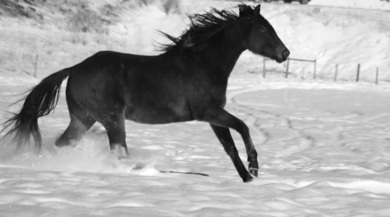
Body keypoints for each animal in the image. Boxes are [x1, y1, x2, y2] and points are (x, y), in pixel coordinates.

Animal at [1, 4, 290, 182]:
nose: (285, 53)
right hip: (112, 119)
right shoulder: (208, 111)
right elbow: (243, 127)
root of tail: (75, 68)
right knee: (119, 152)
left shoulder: (213, 117)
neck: (204, 63)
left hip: (84, 119)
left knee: (65, 144)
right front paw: (254, 167)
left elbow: (229, 147)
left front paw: (247, 177)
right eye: (263, 28)